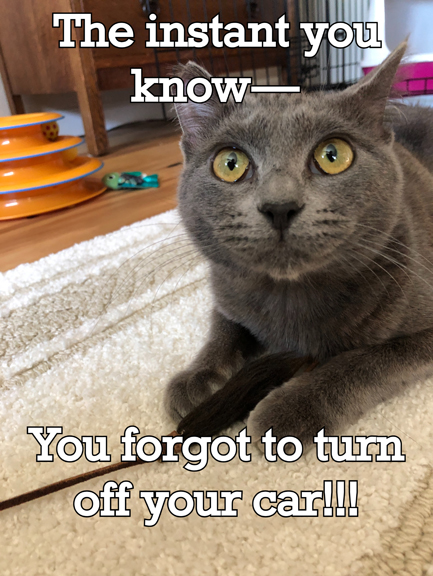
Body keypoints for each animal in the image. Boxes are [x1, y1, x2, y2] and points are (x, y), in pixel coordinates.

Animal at [164, 41, 433, 446]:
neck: (288, 299)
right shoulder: (224, 285)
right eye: (230, 163)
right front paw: (197, 378)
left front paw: (291, 409)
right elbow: (223, 324)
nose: (280, 206)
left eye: (333, 155)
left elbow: (365, 360)